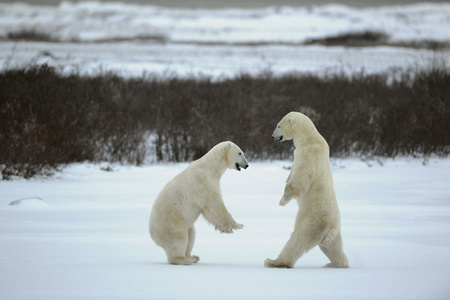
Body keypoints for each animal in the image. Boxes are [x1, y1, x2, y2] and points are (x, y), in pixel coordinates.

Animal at [264, 111, 348, 268]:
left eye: (278, 125)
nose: (272, 136)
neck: (309, 138)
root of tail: (330, 229)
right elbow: (292, 174)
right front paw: (287, 178)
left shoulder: (309, 154)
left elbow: (301, 178)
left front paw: (283, 200)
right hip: (334, 235)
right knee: (333, 248)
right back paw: (335, 264)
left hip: (311, 222)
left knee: (297, 241)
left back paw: (273, 261)